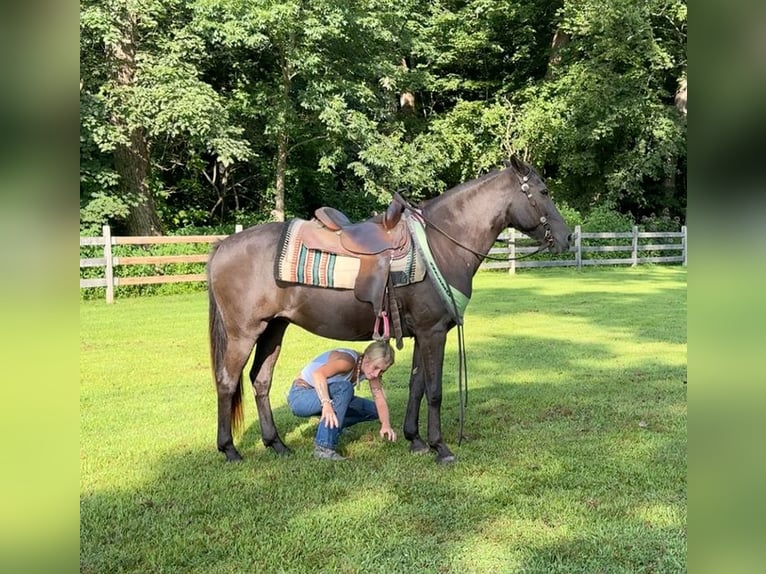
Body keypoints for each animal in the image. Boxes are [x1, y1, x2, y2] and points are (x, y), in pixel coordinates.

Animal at [207, 156, 571, 463]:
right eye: (543, 191)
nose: (567, 237)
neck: (441, 246)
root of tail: (223, 246)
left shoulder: (424, 333)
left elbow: (417, 385)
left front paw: (416, 439)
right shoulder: (433, 332)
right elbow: (435, 391)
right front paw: (441, 447)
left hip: (274, 328)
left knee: (260, 380)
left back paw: (277, 444)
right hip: (244, 333)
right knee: (227, 381)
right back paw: (229, 450)